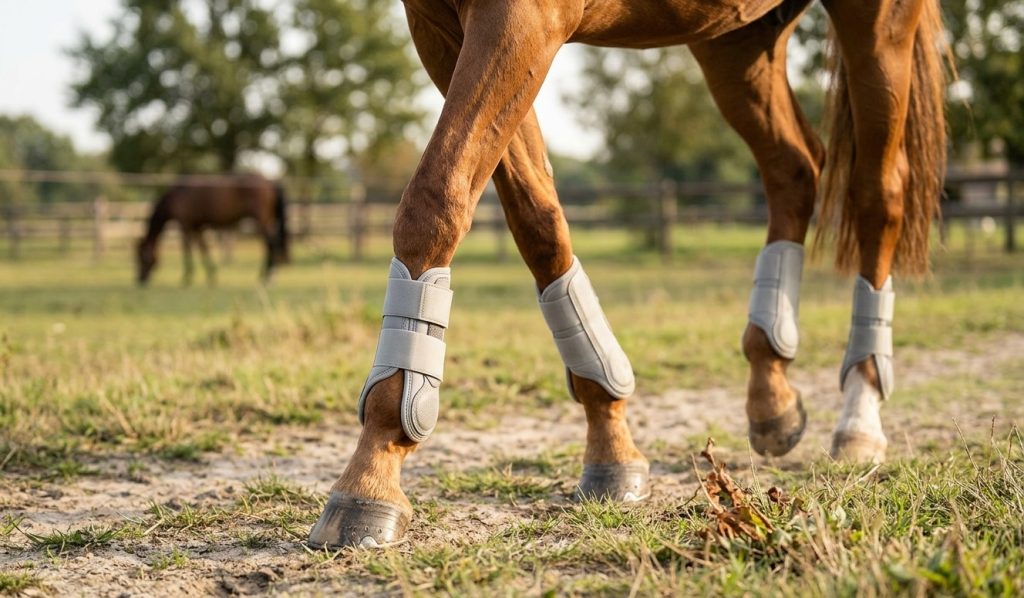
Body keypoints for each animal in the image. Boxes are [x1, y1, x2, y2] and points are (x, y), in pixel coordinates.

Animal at [135, 173, 289, 286]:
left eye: (141, 257)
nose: (139, 280)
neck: (177, 195)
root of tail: (270, 182)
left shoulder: (185, 225)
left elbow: (187, 249)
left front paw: (187, 277)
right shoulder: (198, 227)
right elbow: (203, 248)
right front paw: (211, 275)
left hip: (260, 220)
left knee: (270, 244)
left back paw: (269, 277)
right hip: (267, 220)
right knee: (269, 245)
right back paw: (264, 275)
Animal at [307, 0, 948, 549]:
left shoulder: (520, 18)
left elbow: (437, 198)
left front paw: (371, 470)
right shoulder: (442, 27)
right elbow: (536, 218)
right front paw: (610, 440)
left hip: (877, 26)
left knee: (878, 195)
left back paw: (861, 411)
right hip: (738, 43)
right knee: (793, 169)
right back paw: (772, 392)